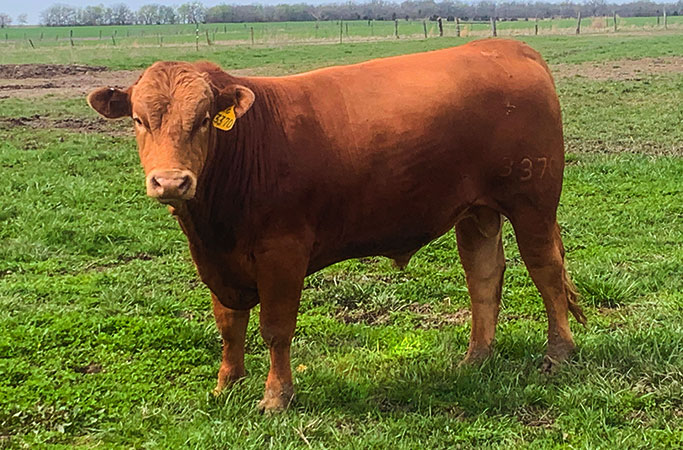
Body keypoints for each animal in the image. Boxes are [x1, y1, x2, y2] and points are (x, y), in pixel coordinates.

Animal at [88, 38, 584, 412]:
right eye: (139, 120)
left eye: (206, 119)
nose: (171, 181)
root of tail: (507, 46)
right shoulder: (216, 261)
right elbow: (229, 325)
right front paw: (226, 386)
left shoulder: (282, 252)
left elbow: (275, 328)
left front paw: (276, 397)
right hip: (477, 212)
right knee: (483, 276)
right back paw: (475, 359)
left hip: (533, 204)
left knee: (546, 272)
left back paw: (559, 355)